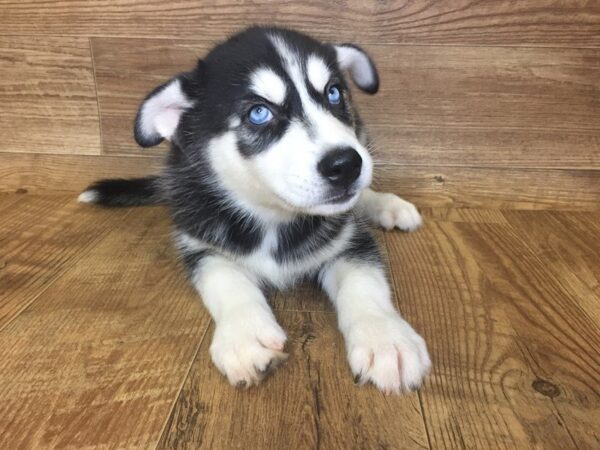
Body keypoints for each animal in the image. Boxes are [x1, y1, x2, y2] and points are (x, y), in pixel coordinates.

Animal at [82, 27, 432, 394]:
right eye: (259, 113)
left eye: (334, 93)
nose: (346, 164)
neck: (272, 218)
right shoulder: (200, 245)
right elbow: (227, 279)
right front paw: (246, 336)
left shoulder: (349, 240)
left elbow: (365, 283)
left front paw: (387, 339)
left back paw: (389, 206)